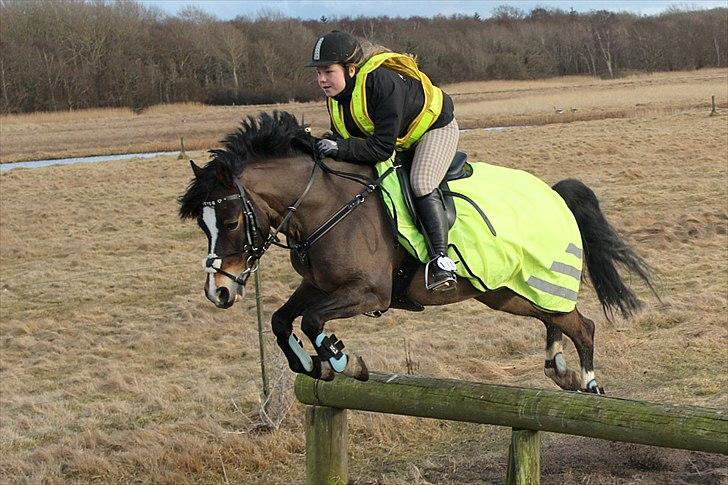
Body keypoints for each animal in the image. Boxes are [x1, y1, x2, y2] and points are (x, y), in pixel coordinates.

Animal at [179, 110, 656, 394]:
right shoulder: (319, 284)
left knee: (583, 325)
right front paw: (311, 363)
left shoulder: (369, 293)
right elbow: (282, 319)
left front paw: (341, 358)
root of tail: (555, 195)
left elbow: (314, 321)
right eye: (203, 225)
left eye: (230, 222)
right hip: (507, 292)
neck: (326, 205)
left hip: (530, 281)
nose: (218, 292)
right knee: (556, 318)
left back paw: (588, 382)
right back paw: (559, 368)